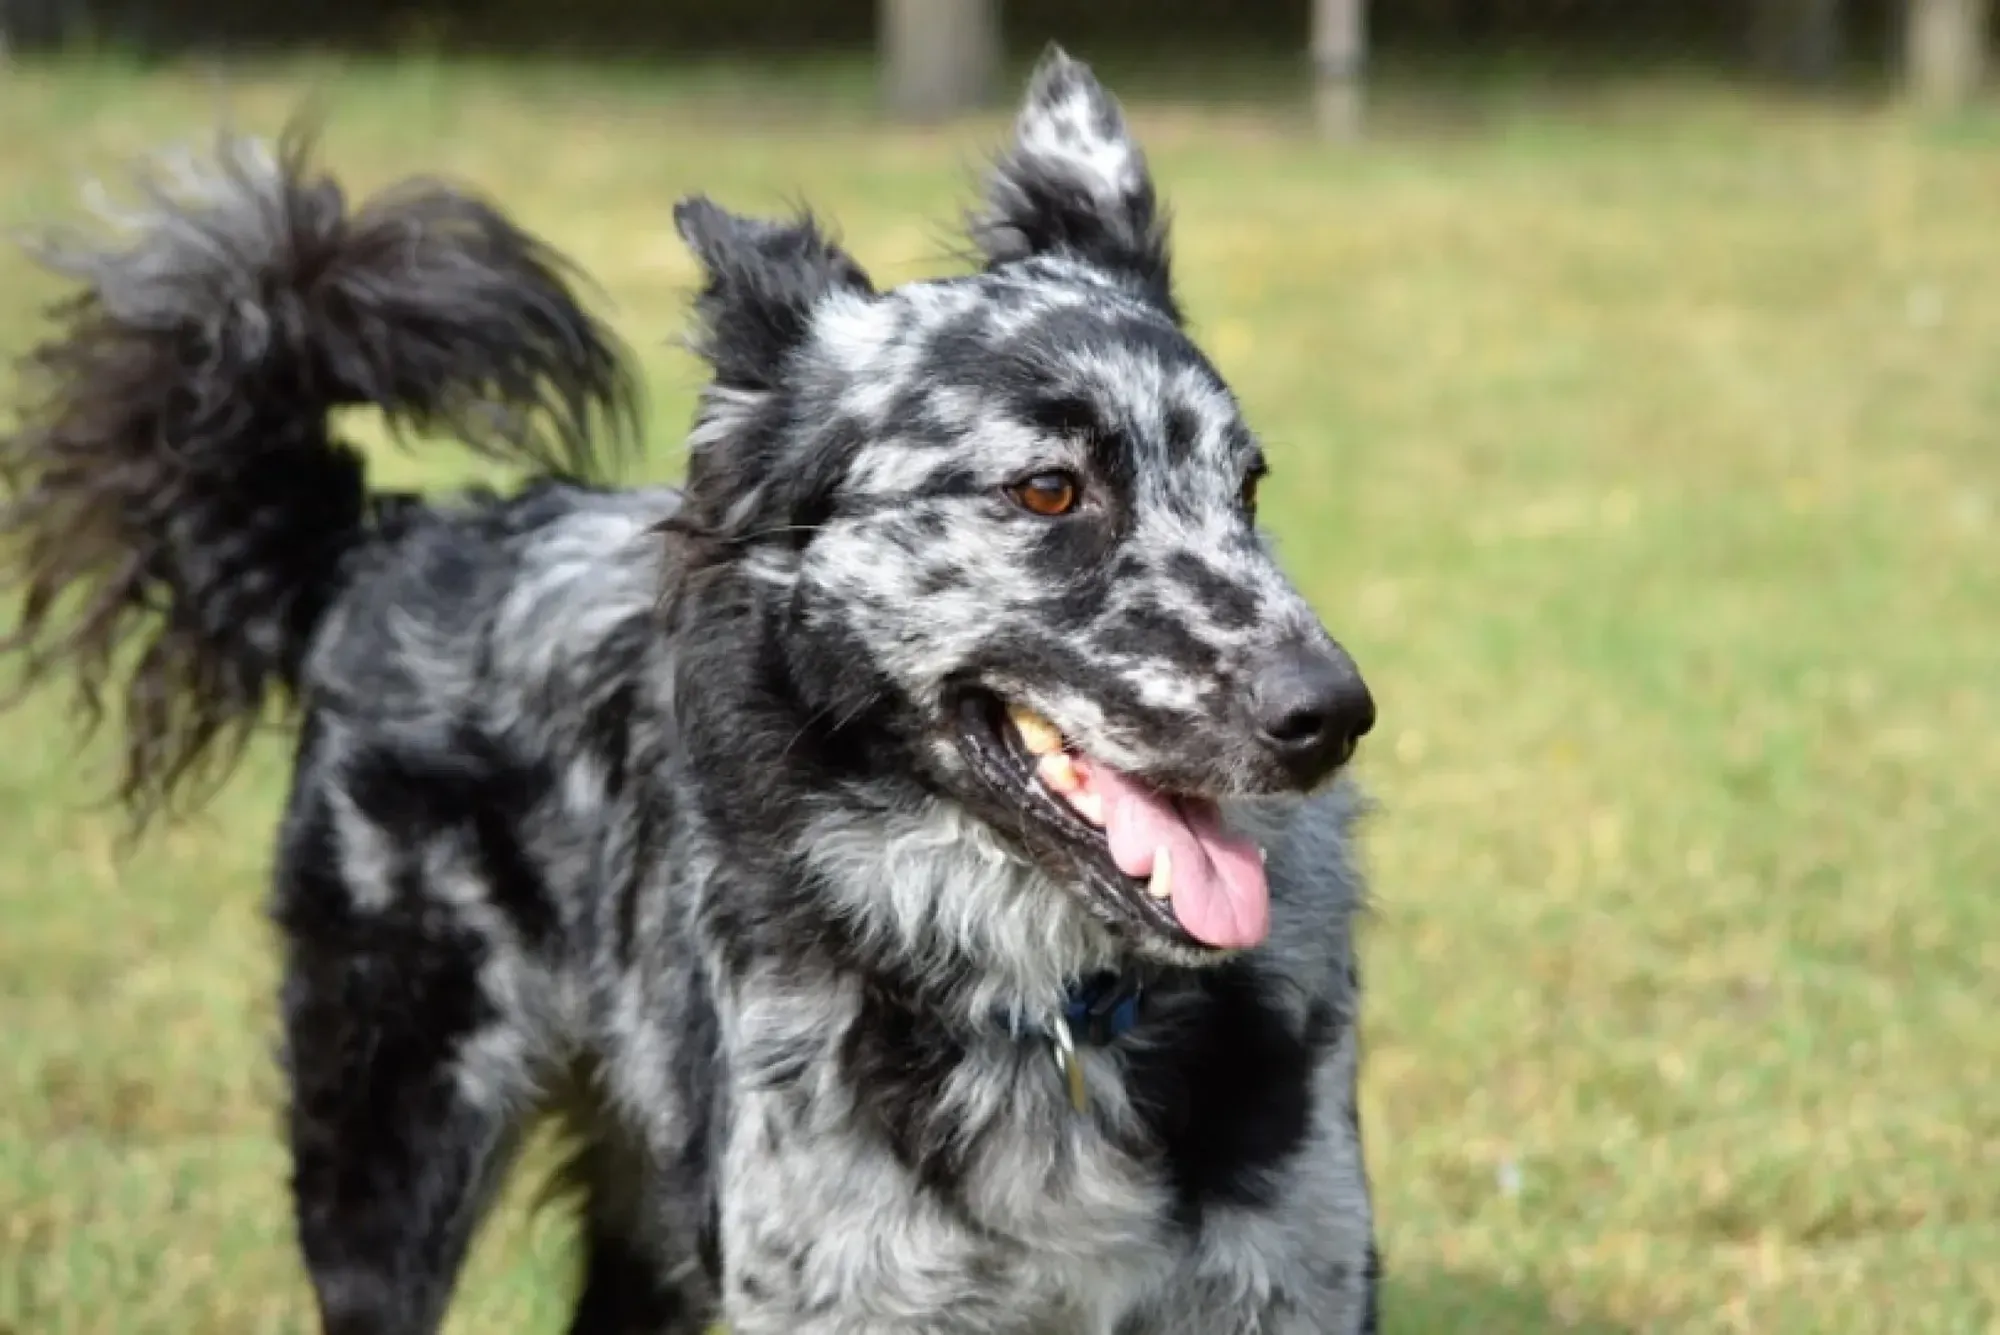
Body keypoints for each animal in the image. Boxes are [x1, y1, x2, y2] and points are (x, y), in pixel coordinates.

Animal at [3, 49, 1376, 1335]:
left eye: (1244, 488)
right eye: (1047, 490)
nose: (1331, 717)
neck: (1051, 1013)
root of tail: (385, 537)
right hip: (391, 1150)